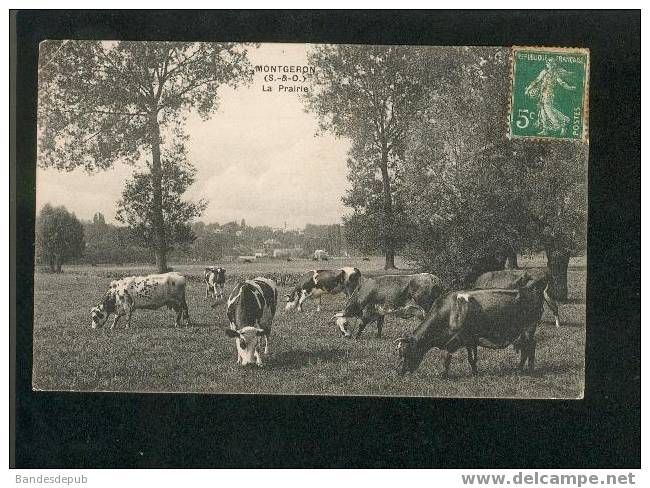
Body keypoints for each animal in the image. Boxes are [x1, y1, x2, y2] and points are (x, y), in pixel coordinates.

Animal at [392, 286, 544, 378]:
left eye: (405, 352)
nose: (398, 371)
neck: (449, 312)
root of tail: (533, 291)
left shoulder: (455, 340)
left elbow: (446, 358)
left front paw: (443, 375)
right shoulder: (470, 340)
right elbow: (471, 359)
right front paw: (475, 373)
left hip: (528, 329)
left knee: (530, 347)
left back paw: (526, 369)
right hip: (523, 333)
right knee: (527, 347)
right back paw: (523, 369)